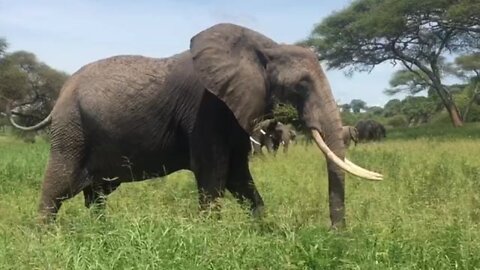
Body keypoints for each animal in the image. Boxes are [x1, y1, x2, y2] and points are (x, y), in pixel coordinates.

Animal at [7, 22, 382, 228]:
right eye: (301, 86)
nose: (336, 234)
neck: (266, 48)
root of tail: (59, 96)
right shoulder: (206, 110)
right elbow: (213, 175)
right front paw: (212, 237)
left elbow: (238, 178)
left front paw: (266, 230)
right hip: (72, 129)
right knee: (57, 187)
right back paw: (46, 239)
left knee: (95, 194)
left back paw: (103, 233)